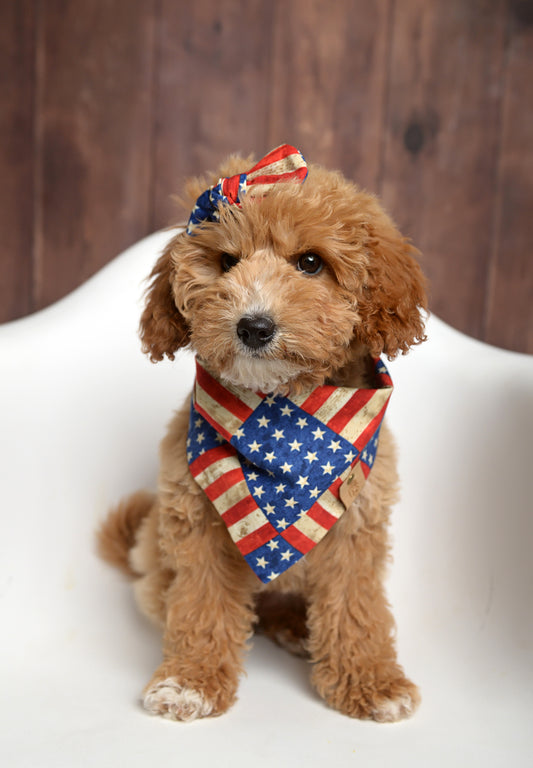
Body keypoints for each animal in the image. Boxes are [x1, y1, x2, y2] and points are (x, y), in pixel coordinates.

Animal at [97, 146, 426, 728]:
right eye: (227, 262)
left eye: (311, 263)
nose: (253, 326)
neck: (282, 410)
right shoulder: (197, 522)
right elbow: (201, 605)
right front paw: (191, 681)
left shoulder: (356, 523)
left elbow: (356, 607)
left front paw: (371, 682)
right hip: (157, 563)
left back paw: (297, 627)